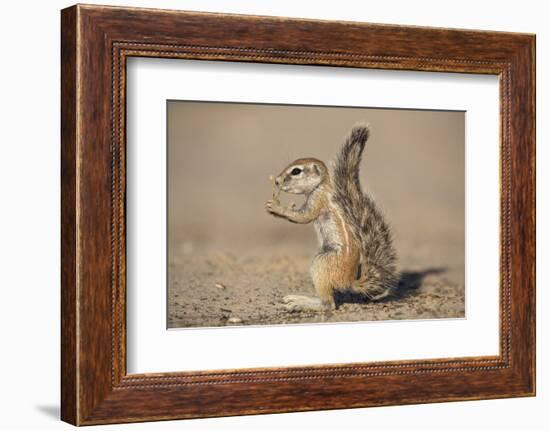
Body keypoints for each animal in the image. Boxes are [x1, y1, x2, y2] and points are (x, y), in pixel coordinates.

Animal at [266, 124, 396, 310]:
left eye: (296, 171)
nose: (276, 181)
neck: (320, 186)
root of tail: (349, 281)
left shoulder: (317, 201)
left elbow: (304, 217)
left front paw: (278, 207)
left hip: (322, 263)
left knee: (328, 304)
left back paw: (299, 303)